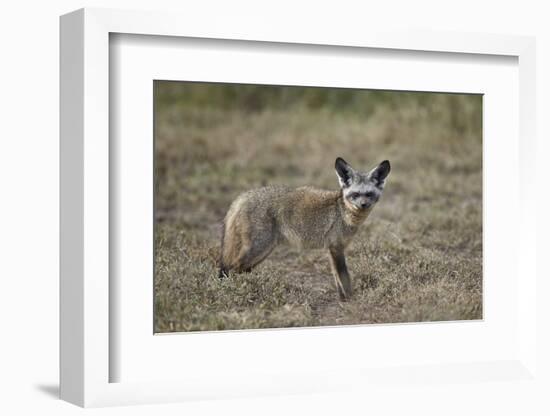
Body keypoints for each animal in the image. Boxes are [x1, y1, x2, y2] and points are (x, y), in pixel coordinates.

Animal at [220, 158, 392, 300]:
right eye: (355, 194)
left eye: (369, 194)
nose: (363, 205)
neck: (342, 212)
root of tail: (242, 196)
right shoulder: (336, 247)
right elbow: (344, 278)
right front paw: (351, 300)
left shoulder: (333, 249)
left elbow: (337, 278)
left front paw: (342, 299)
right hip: (258, 249)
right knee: (231, 268)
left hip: (262, 253)